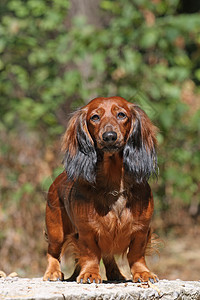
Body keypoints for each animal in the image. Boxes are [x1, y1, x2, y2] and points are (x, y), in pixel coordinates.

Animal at [43, 96, 159, 284]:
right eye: (95, 117)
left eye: (121, 115)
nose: (109, 137)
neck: (114, 184)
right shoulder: (86, 231)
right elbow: (91, 254)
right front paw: (90, 273)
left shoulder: (141, 230)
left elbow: (136, 254)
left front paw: (143, 273)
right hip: (56, 231)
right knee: (52, 252)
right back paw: (53, 272)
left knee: (108, 256)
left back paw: (116, 274)